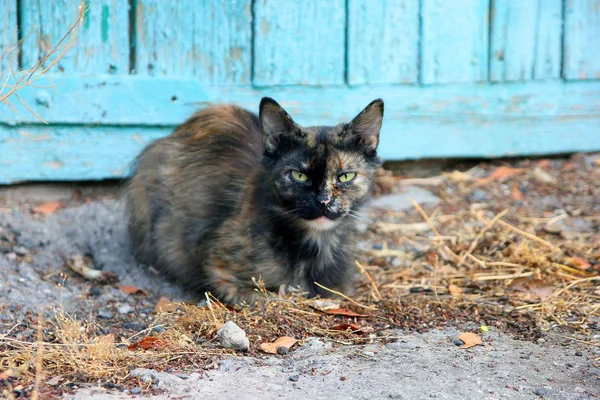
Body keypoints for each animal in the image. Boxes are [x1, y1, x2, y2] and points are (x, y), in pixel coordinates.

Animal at [126, 97, 384, 304]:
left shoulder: (342, 289)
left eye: (346, 176)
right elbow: (272, 296)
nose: (323, 201)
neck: (316, 244)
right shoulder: (216, 265)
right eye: (299, 175)